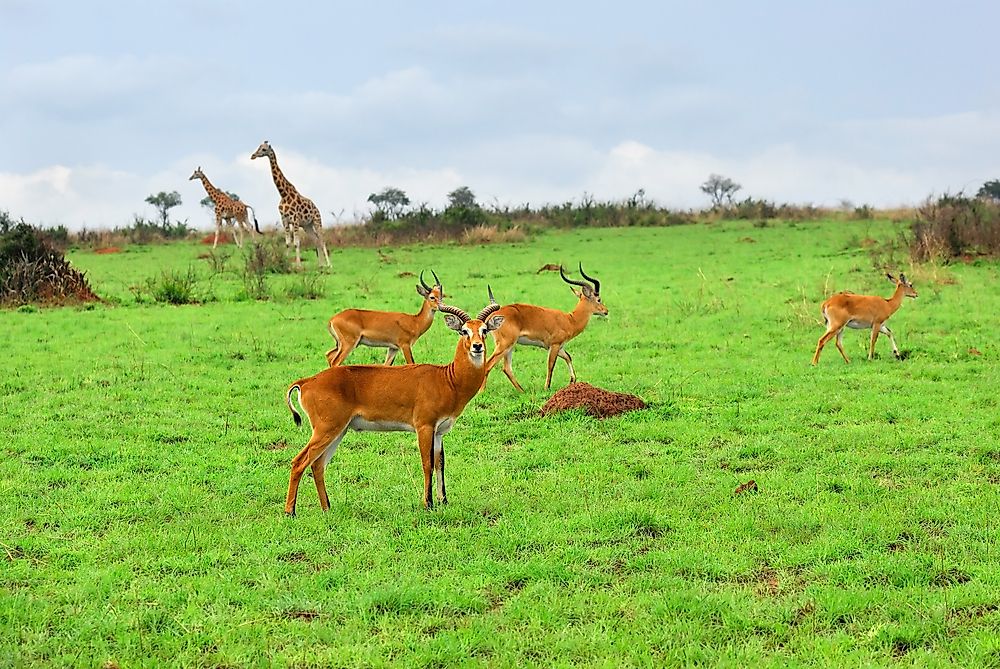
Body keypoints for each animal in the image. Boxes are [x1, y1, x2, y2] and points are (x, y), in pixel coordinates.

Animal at [286, 292, 504, 512]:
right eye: (464, 331)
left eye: (484, 330)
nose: (477, 346)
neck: (448, 379)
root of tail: (306, 382)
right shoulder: (424, 427)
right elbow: (427, 463)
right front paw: (428, 504)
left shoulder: (439, 431)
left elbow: (440, 463)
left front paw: (443, 501)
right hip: (327, 429)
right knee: (299, 462)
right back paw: (290, 512)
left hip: (339, 430)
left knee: (317, 464)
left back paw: (327, 509)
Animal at [482, 262, 604, 392]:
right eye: (598, 299)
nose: (606, 311)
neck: (570, 320)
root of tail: (492, 316)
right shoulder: (555, 345)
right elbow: (551, 365)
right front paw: (547, 388)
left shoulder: (557, 347)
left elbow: (568, 357)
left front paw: (572, 381)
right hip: (505, 344)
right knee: (489, 364)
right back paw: (482, 391)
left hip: (510, 346)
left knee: (506, 368)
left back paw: (522, 391)